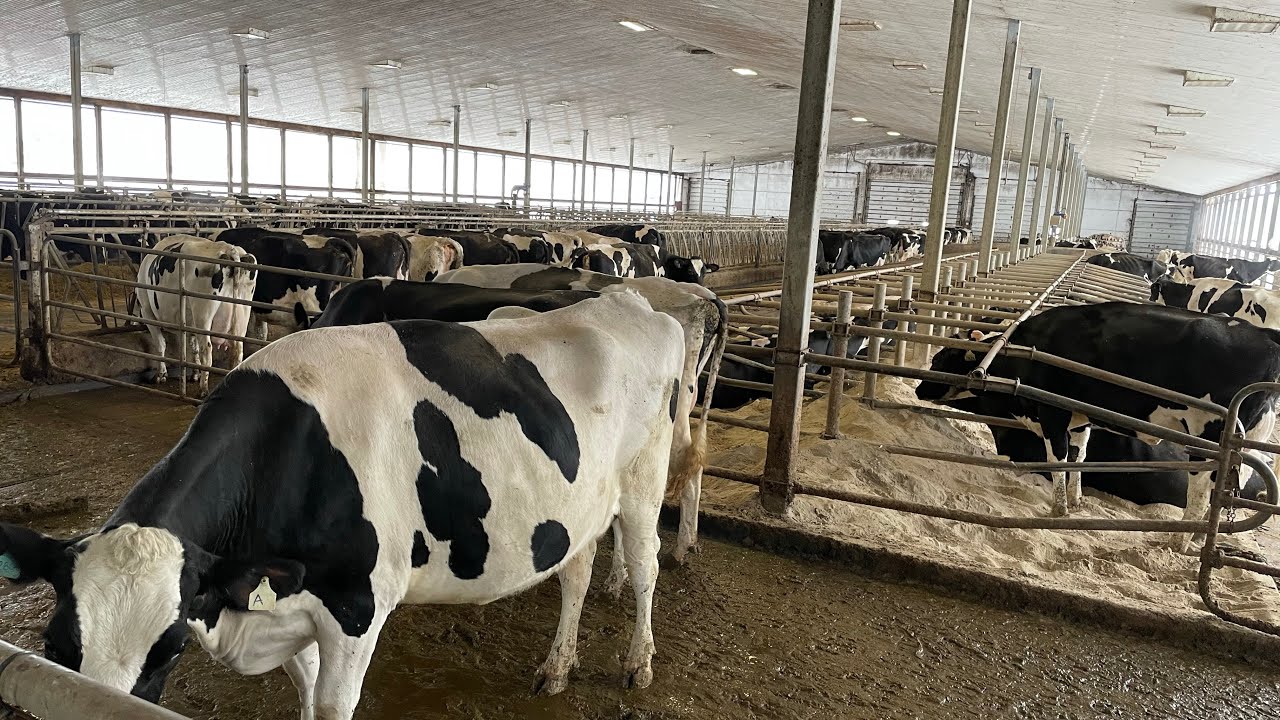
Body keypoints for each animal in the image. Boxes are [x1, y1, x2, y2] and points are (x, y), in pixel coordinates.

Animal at [0, 292, 685, 716]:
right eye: (54, 644)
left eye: (167, 648)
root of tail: (627, 301)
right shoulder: (293, 604)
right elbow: (305, 698)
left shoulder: (358, 607)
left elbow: (332, 705)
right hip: (581, 506)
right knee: (576, 572)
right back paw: (557, 667)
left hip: (644, 481)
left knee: (646, 566)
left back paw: (638, 663)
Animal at [135, 235, 257, 397]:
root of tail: (229, 249)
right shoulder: (189, 321)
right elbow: (193, 347)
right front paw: (195, 373)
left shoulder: (147, 312)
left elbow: (161, 344)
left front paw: (161, 375)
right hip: (242, 315)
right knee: (237, 352)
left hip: (203, 314)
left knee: (207, 351)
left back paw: (203, 390)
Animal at [915, 302, 1280, 551]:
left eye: (941, 358)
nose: (918, 388)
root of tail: (1264, 337)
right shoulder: (1080, 419)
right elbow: (1079, 457)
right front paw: (1076, 502)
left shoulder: (1053, 411)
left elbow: (1057, 459)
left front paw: (1057, 509)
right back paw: (1197, 538)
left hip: (1209, 435)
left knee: (1202, 491)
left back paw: (1178, 541)